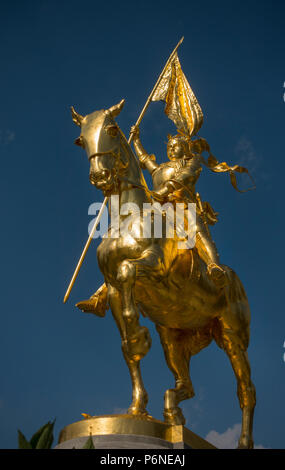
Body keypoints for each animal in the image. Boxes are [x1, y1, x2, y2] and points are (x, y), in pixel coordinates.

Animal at [70, 100, 255, 448]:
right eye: (80, 139)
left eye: (111, 129)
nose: (100, 177)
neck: (128, 217)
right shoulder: (113, 290)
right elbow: (128, 345)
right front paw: (136, 408)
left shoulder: (155, 268)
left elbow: (129, 271)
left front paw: (139, 331)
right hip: (173, 334)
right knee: (186, 383)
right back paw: (173, 413)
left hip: (232, 335)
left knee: (246, 391)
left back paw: (243, 441)